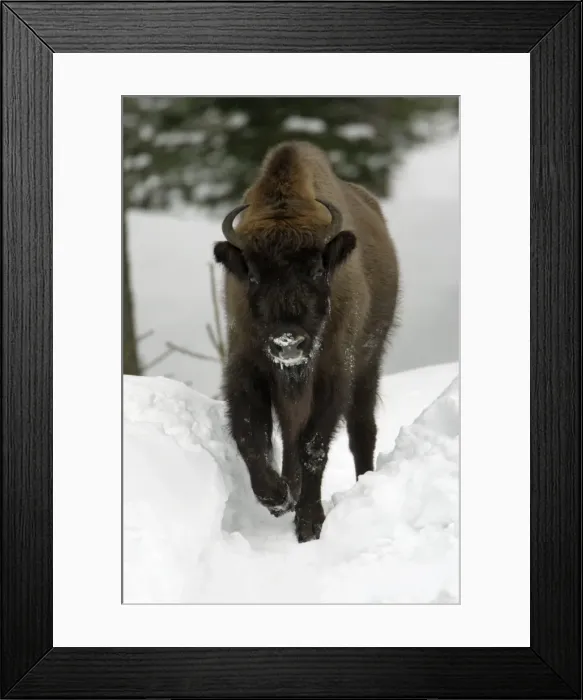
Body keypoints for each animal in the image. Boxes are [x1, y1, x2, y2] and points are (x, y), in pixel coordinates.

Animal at [213, 141, 400, 542]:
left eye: (316, 269)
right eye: (252, 275)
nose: (288, 341)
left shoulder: (334, 373)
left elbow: (314, 445)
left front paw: (310, 522)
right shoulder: (248, 367)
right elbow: (251, 435)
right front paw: (276, 497)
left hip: (369, 363)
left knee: (361, 429)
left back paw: (362, 480)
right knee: (290, 433)